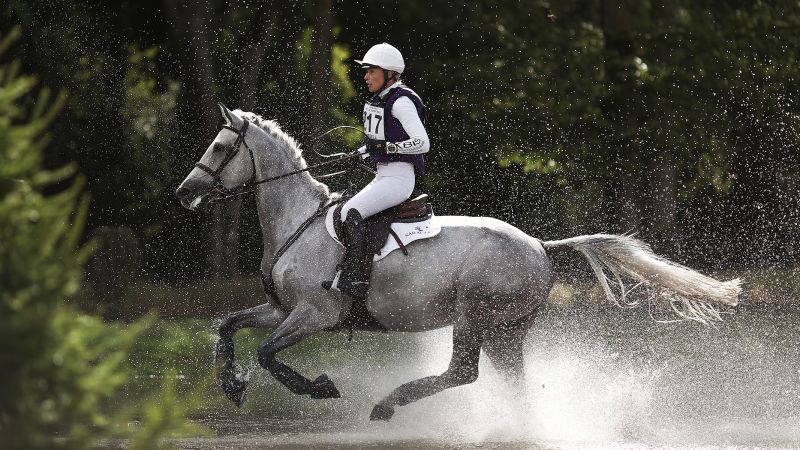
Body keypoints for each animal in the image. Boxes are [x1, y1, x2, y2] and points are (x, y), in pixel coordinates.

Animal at [178, 103, 740, 420]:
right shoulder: (281, 309)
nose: (185, 193)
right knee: (506, 382)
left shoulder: (315, 314)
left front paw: (317, 387)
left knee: (463, 372)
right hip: (506, 329)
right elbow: (228, 325)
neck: (299, 222)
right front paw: (231, 386)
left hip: (475, 314)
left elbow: (269, 353)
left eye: (221, 146)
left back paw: (388, 404)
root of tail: (540, 246)